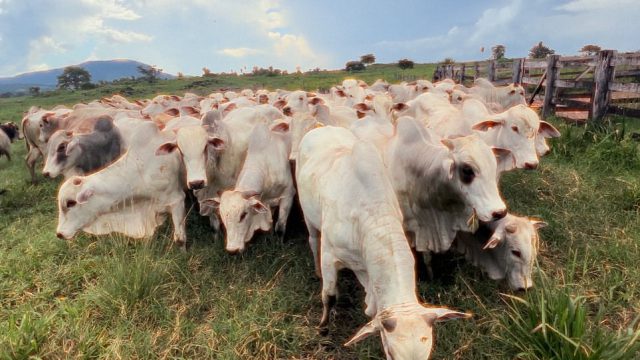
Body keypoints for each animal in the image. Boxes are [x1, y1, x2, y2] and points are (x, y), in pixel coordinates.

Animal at [296, 126, 470, 360]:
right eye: (391, 353)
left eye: (426, 354)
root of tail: (321, 128)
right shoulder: (330, 255)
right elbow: (329, 296)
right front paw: (323, 327)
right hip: (309, 218)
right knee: (313, 241)